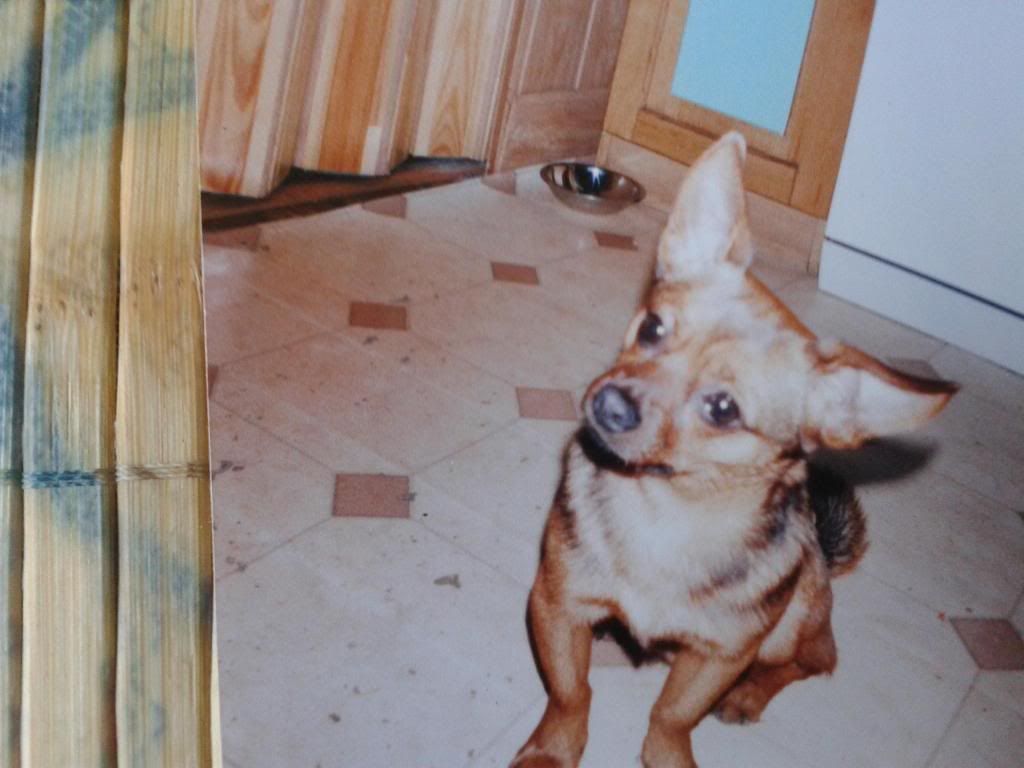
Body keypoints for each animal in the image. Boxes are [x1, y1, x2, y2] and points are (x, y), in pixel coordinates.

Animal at [511, 132, 957, 768]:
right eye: (652, 328)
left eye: (723, 409)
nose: (611, 404)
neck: (665, 513)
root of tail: (825, 553)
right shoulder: (556, 606)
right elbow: (573, 693)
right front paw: (552, 752)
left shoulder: (721, 655)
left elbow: (673, 715)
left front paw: (668, 755)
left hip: (785, 625)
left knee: (816, 659)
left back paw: (748, 696)